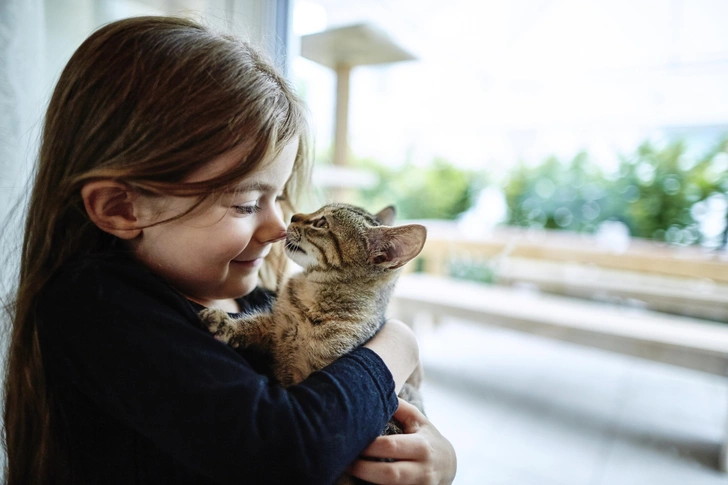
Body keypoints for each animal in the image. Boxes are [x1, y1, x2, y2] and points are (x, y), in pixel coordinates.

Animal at [198, 201, 426, 480]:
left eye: (321, 224)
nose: (294, 216)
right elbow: (253, 324)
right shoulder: (277, 327)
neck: (312, 297)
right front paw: (225, 323)